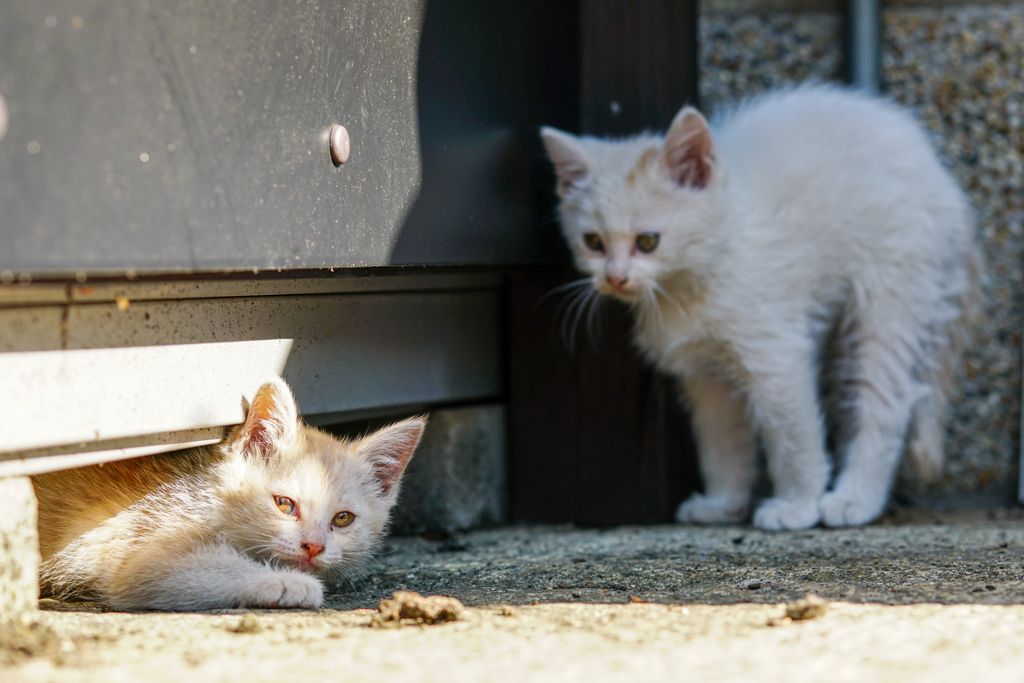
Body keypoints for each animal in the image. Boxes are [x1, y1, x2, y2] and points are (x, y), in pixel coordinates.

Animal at [30, 378, 423, 610]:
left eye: (343, 519)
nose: (313, 546)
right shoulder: (140, 550)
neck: (209, 496)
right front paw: (287, 583)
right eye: (285, 505)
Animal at [540, 85, 978, 532]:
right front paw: (723, 504)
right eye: (593, 242)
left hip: (891, 290)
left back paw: (856, 498)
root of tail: (944, 185)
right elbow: (721, 440)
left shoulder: (777, 355)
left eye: (648, 241)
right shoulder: (703, 374)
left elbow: (793, 435)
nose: (614, 277)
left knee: (886, 398)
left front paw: (797, 505)